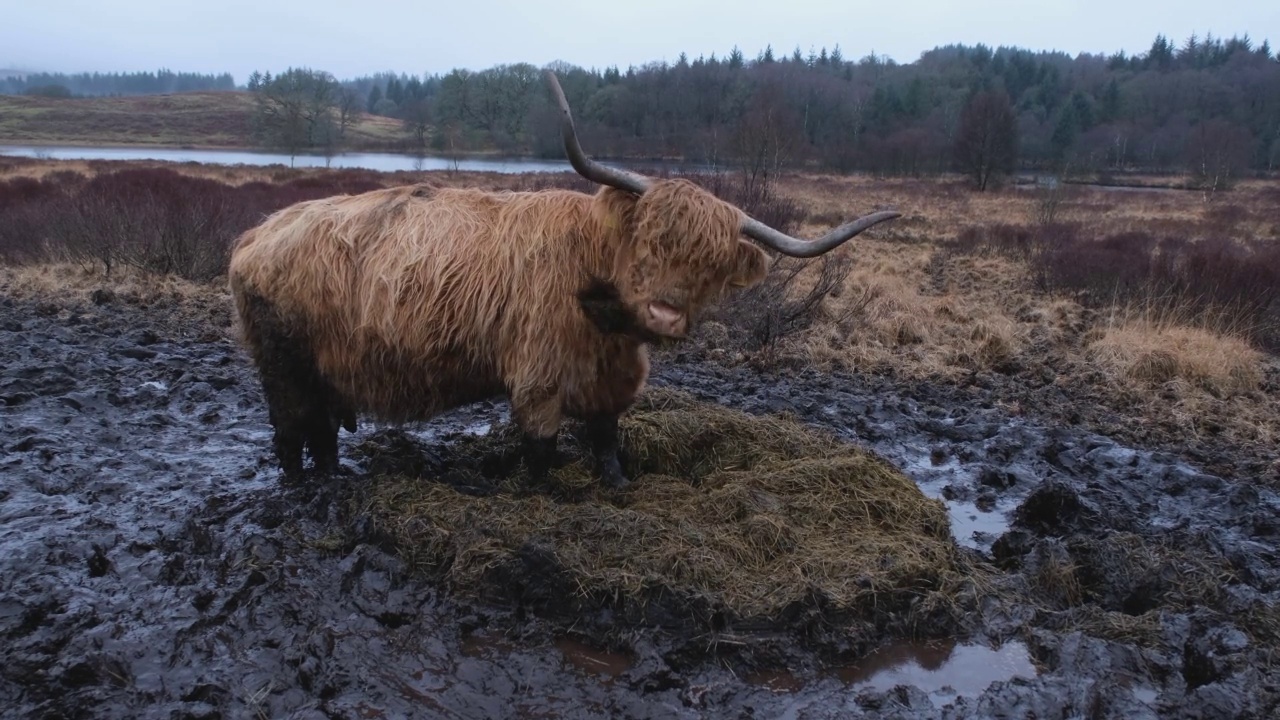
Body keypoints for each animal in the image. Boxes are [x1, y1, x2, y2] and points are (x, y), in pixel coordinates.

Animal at [227, 70, 901, 484]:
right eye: (648, 244)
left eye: (709, 268)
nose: (665, 313)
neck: (605, 318)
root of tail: (255, 235)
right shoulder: (537, 380)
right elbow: (542, 457)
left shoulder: (611, 384)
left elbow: (607, 444)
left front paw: (617, 484)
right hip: (282, 366)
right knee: (290, 437)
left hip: (320, 372)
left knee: (320, 435)